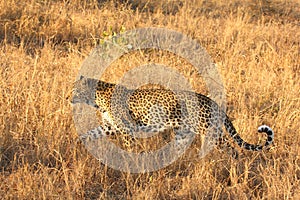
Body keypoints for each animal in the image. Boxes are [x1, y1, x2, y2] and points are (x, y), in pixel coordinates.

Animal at [71, 75, 274, 155]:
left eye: (74, 89)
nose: (68, 98)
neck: (97, 99)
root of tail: (212, 101)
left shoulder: (126, 129)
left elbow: (129, 148)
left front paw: (130, 162)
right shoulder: (110, 126)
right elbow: (91, 133)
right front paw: (78, 143)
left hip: (208, 131)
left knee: (232, 149)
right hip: (182, 134)